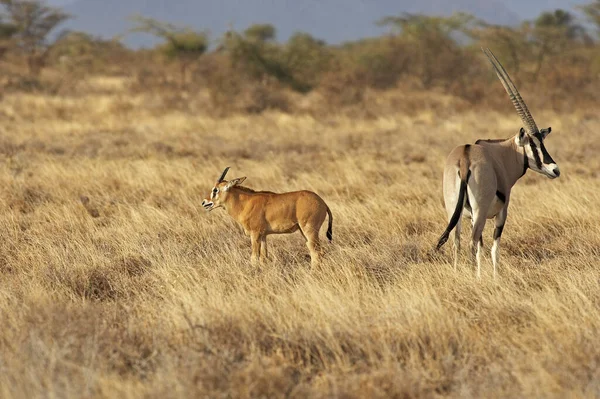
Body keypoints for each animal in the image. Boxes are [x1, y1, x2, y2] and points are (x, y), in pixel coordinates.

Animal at [202, 167, 332, 268]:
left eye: (215, 190)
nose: (204, 202)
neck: (245, 202)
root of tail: (322, 202)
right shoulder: (263, 235)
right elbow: (263, 258)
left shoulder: (255, 234)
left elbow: (254, 258)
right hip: (304, 232)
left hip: (309, 231)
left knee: (317, 252)